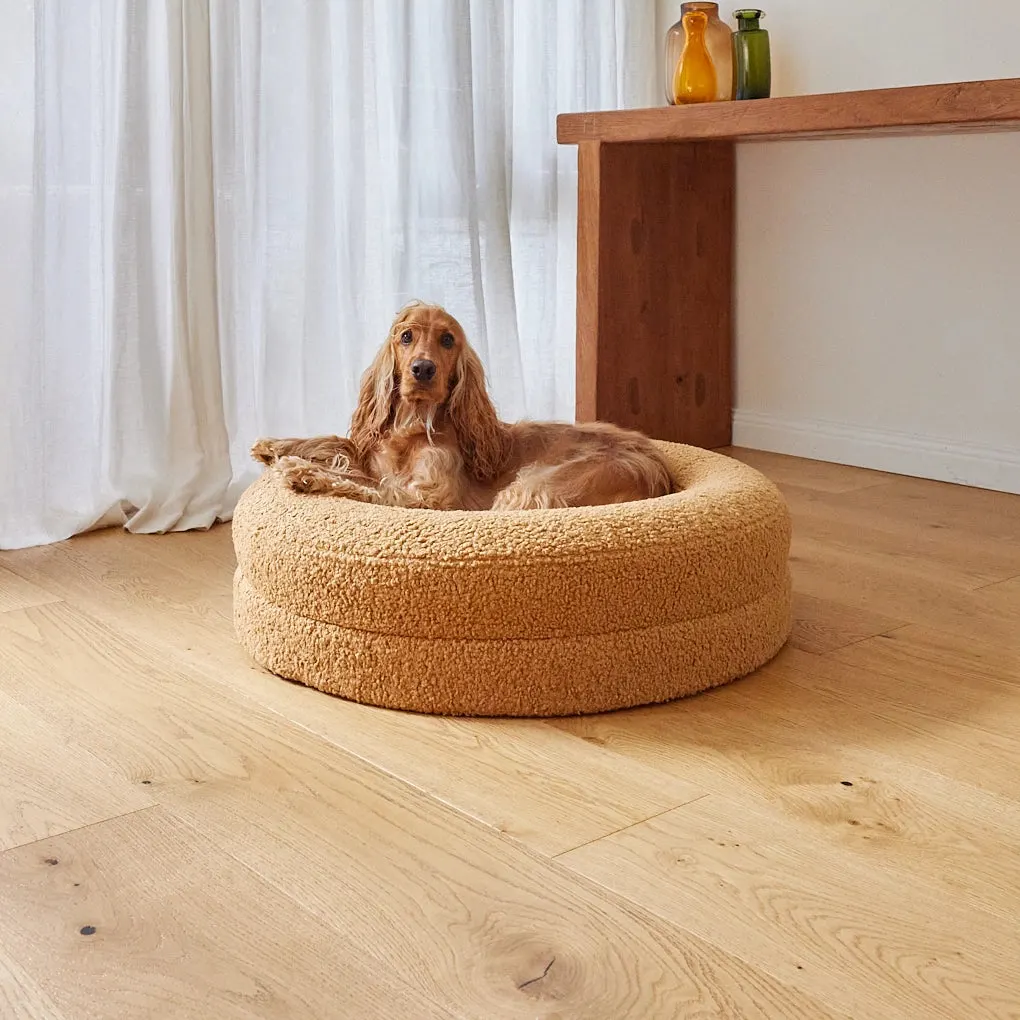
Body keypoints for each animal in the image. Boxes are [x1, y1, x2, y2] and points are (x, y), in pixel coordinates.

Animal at [250, 299, 673, 510]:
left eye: (447, 340)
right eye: (406, 336)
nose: (423, 369)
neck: (413, 425)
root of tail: (658, 468)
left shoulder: (433, 495)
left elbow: (375, 487)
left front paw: (307, 473)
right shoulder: (374, 453)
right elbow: (343, 445)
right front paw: (276, 446)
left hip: (531, 488)